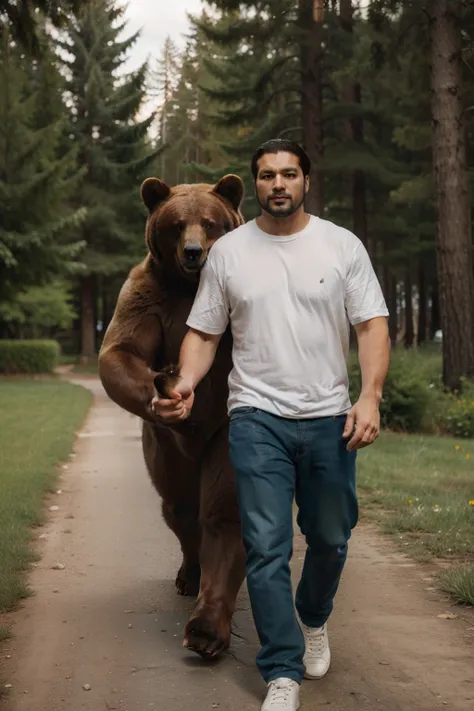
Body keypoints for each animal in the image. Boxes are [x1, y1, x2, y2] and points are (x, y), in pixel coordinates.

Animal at [99, 175, 248, 660]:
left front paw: (206, 629)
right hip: (164, 450)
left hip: (217, 436)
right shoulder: (148, 298)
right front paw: (167, 391)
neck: (190, 288)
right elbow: (121, 351)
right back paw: (189, 573)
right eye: (176, 224)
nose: (193, 252)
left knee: (215, 510)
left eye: (211, 221)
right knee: (178, 506)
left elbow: (226, 510)